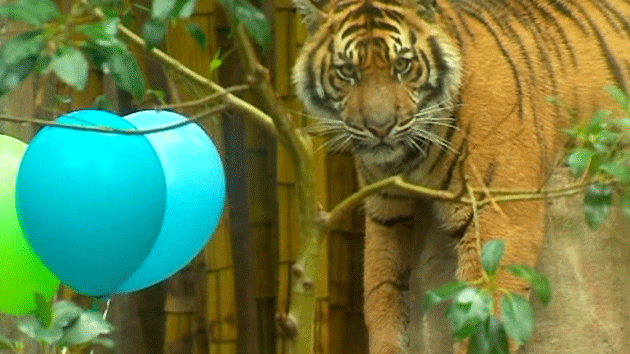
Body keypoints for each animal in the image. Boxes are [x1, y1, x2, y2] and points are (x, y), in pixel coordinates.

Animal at [294, 0, 630, 352]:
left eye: (403, 65)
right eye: (346, 71)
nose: (380, 127)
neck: (409, 157)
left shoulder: (498, 214)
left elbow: (485, 315)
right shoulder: (384, 213)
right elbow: (381, 291)